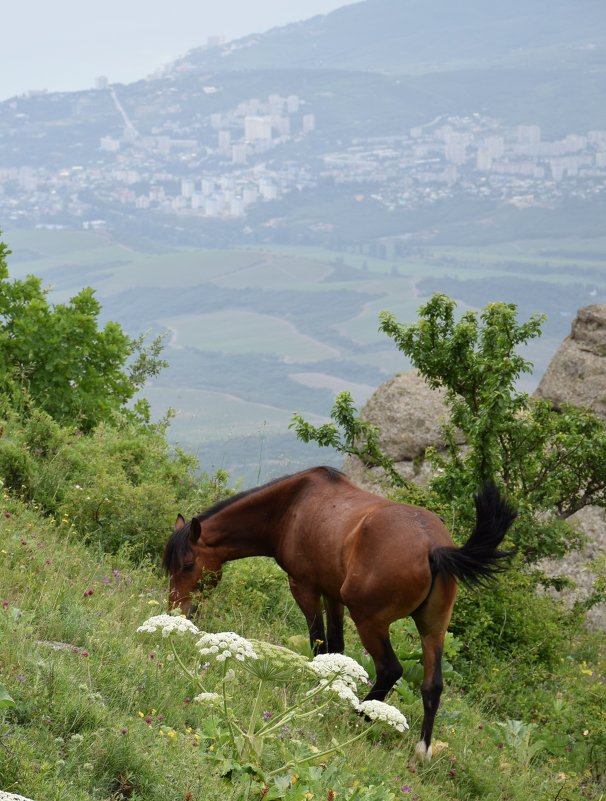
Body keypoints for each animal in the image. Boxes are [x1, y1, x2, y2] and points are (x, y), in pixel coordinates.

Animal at [164, 466, 516, 760]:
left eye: (188, 564)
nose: (175, 612)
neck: (291, 505)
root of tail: (434, 547)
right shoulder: (333, 595)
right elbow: (337, 647)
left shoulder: (305, 587)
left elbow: (318, 642)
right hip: (433, 628)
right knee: (433, 686)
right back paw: (422, 750)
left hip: (370, 621)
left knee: (390, 669)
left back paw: (362, 712)